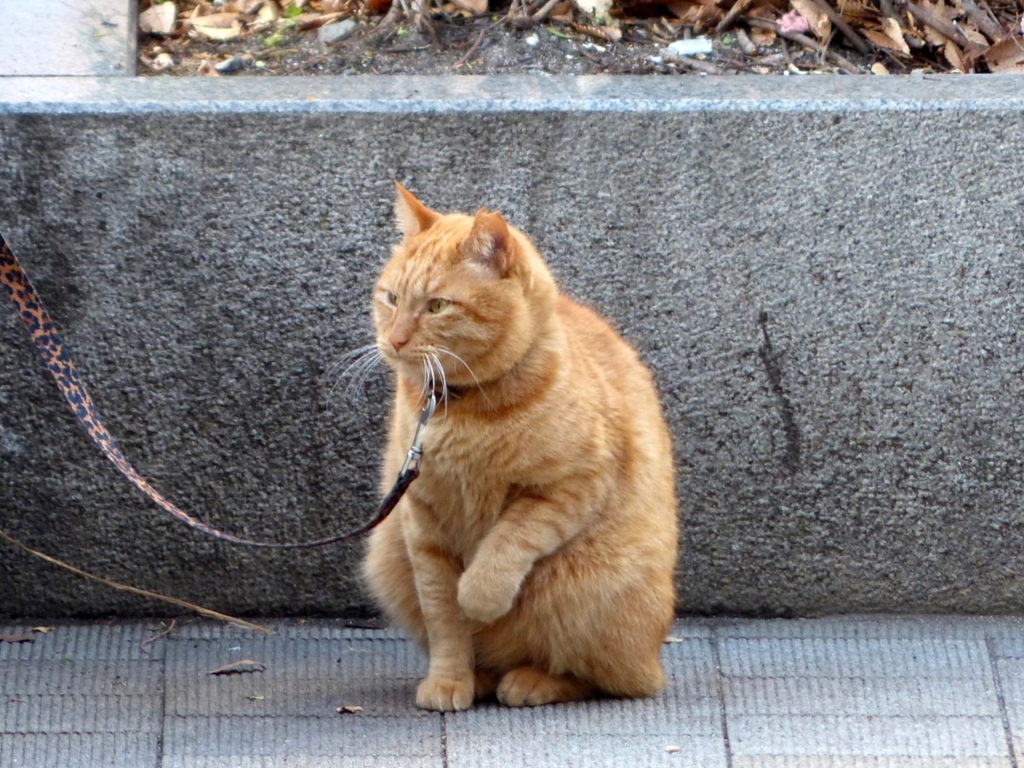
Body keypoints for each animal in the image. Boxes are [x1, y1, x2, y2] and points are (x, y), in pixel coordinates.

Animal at [362, 183, 679, 712]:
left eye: (437, 307)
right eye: (391, 298)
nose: (395, 339)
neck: (461, 411)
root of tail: (653, 656)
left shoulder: (568, 487)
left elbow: (506, 545)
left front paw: (479, 596)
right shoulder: (424, 528)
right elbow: (444, 619)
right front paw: (450, 679)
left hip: (593, 586)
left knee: (602, 677)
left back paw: (532, 680)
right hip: (387, 559)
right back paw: (485, 676)